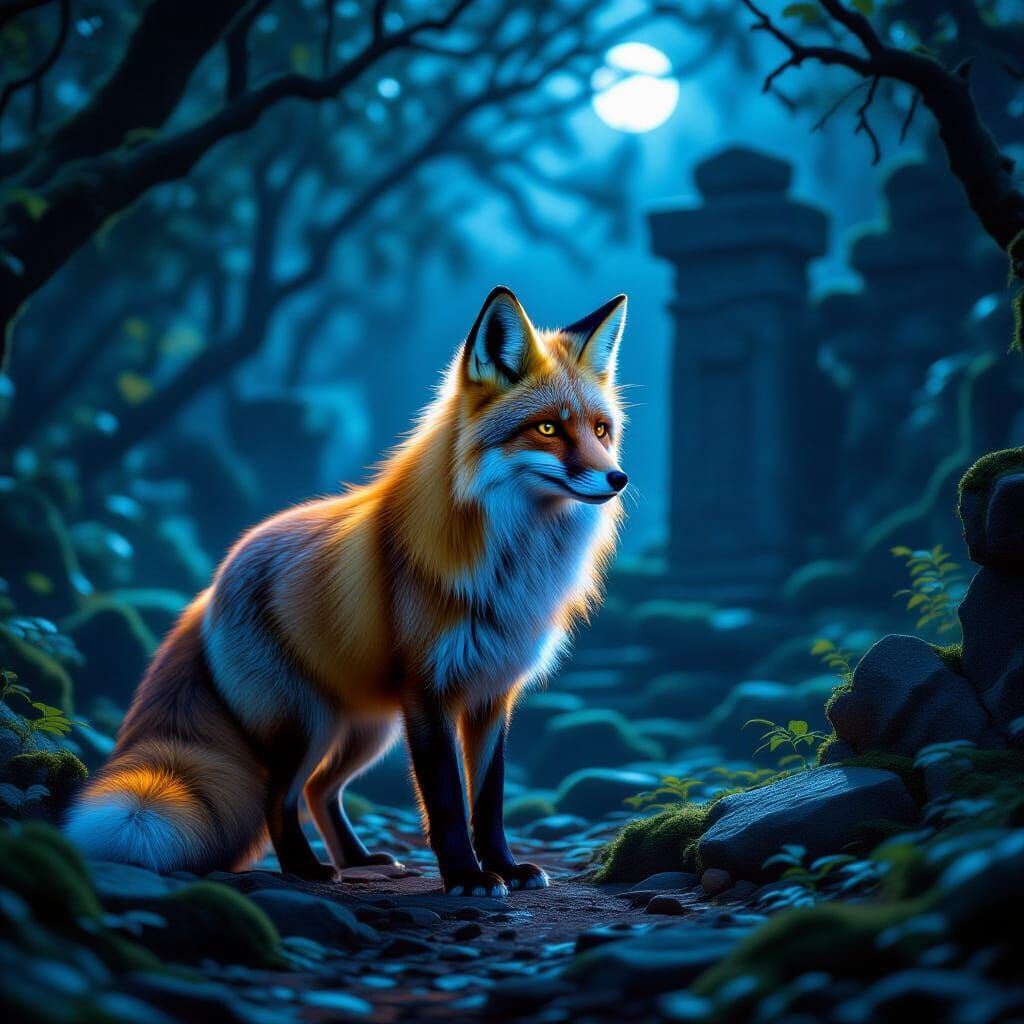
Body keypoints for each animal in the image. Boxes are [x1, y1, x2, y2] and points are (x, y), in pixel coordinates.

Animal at [64, 286, 629, 897]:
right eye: (548, 429)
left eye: (601, 430)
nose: (618, 478)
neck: (513, 566)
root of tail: (213, 584)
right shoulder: (428, 692)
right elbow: (447, 801)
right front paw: (465, 876)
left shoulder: (491, 694)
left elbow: (489, 800)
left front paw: (503, 866)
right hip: (306, 723)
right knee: (278, 797)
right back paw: (306, 868)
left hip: (366, 729)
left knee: (319, 790)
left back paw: (358, 859)